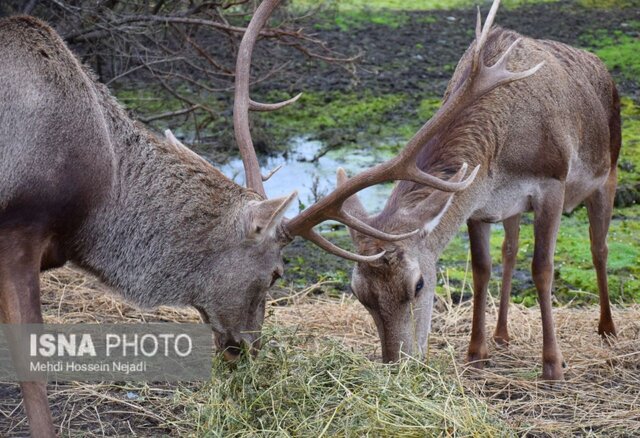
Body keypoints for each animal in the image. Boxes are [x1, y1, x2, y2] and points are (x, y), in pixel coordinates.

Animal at [336, 0, 620, 380]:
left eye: (419, 284)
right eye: (359, 292)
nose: (399, 365)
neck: (501, 159)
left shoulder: (552, 183)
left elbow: (542, 268)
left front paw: (552, 366)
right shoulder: (479, 202)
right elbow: (482, 269)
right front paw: (476, 353)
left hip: (608, 172)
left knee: (599, 248)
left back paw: (607, 328)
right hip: (516, 207)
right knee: (510, 250)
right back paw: (502, 334)